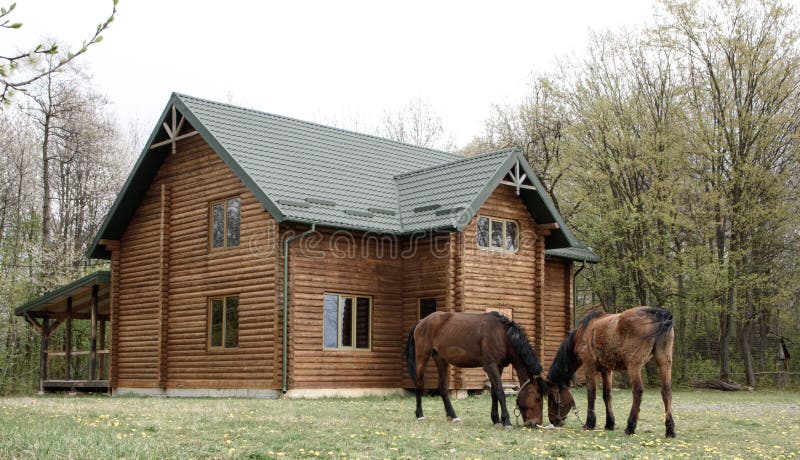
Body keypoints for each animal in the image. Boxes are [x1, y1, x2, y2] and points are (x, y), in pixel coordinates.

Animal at [404, 310, 548, 430]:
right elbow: (500, 392)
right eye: (537, 399)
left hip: (441, 360)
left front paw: (496, 419)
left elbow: (494, 392)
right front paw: (506, 421)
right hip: (422, 357)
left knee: (443, 388)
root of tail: (422, 321)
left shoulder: (498, 367)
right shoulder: (491, 366)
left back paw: (453, 416)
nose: (535, 424)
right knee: (419, 384)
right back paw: (420, 415)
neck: (502, 335)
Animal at [544, 308, 676, 436]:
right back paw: (670, 430)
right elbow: (607, 395)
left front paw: (589, 423)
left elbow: (591, 394)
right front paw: (609, 424)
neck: (582, 333)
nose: (553, 421)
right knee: (666, 392)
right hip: (664, 362)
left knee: (638, 392)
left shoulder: (590, 368)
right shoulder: (606, 370)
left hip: (634, 366)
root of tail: (657, 315)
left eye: (552, 398)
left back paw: (630, 427)